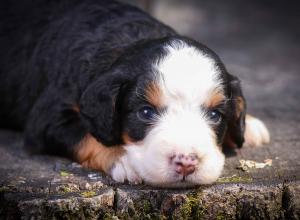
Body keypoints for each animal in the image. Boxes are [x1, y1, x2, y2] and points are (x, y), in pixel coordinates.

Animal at [0, 0, 270, 186]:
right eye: (145, 112)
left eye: (215, 115)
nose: (186, 163)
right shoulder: (49, 118)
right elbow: (87, 136)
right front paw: (125, 160)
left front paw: (250, 125)